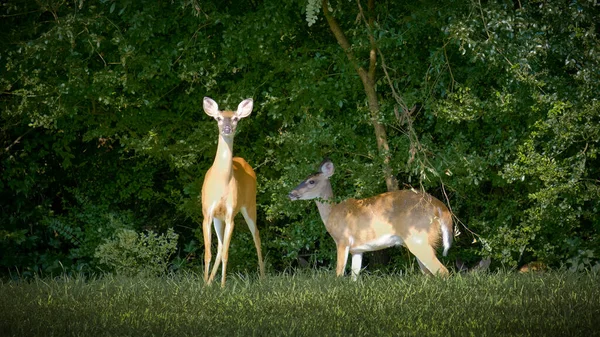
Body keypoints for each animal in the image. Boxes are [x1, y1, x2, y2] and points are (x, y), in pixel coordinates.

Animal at [288, 159, 452, 280]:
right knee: (429, 274)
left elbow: (339, 273)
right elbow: (354, 276)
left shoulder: (342, 240)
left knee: (443, 271)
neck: (332, 213)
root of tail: (440, 207)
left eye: (311, 181)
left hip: (418, 237)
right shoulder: (357, 249)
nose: (291, 193)